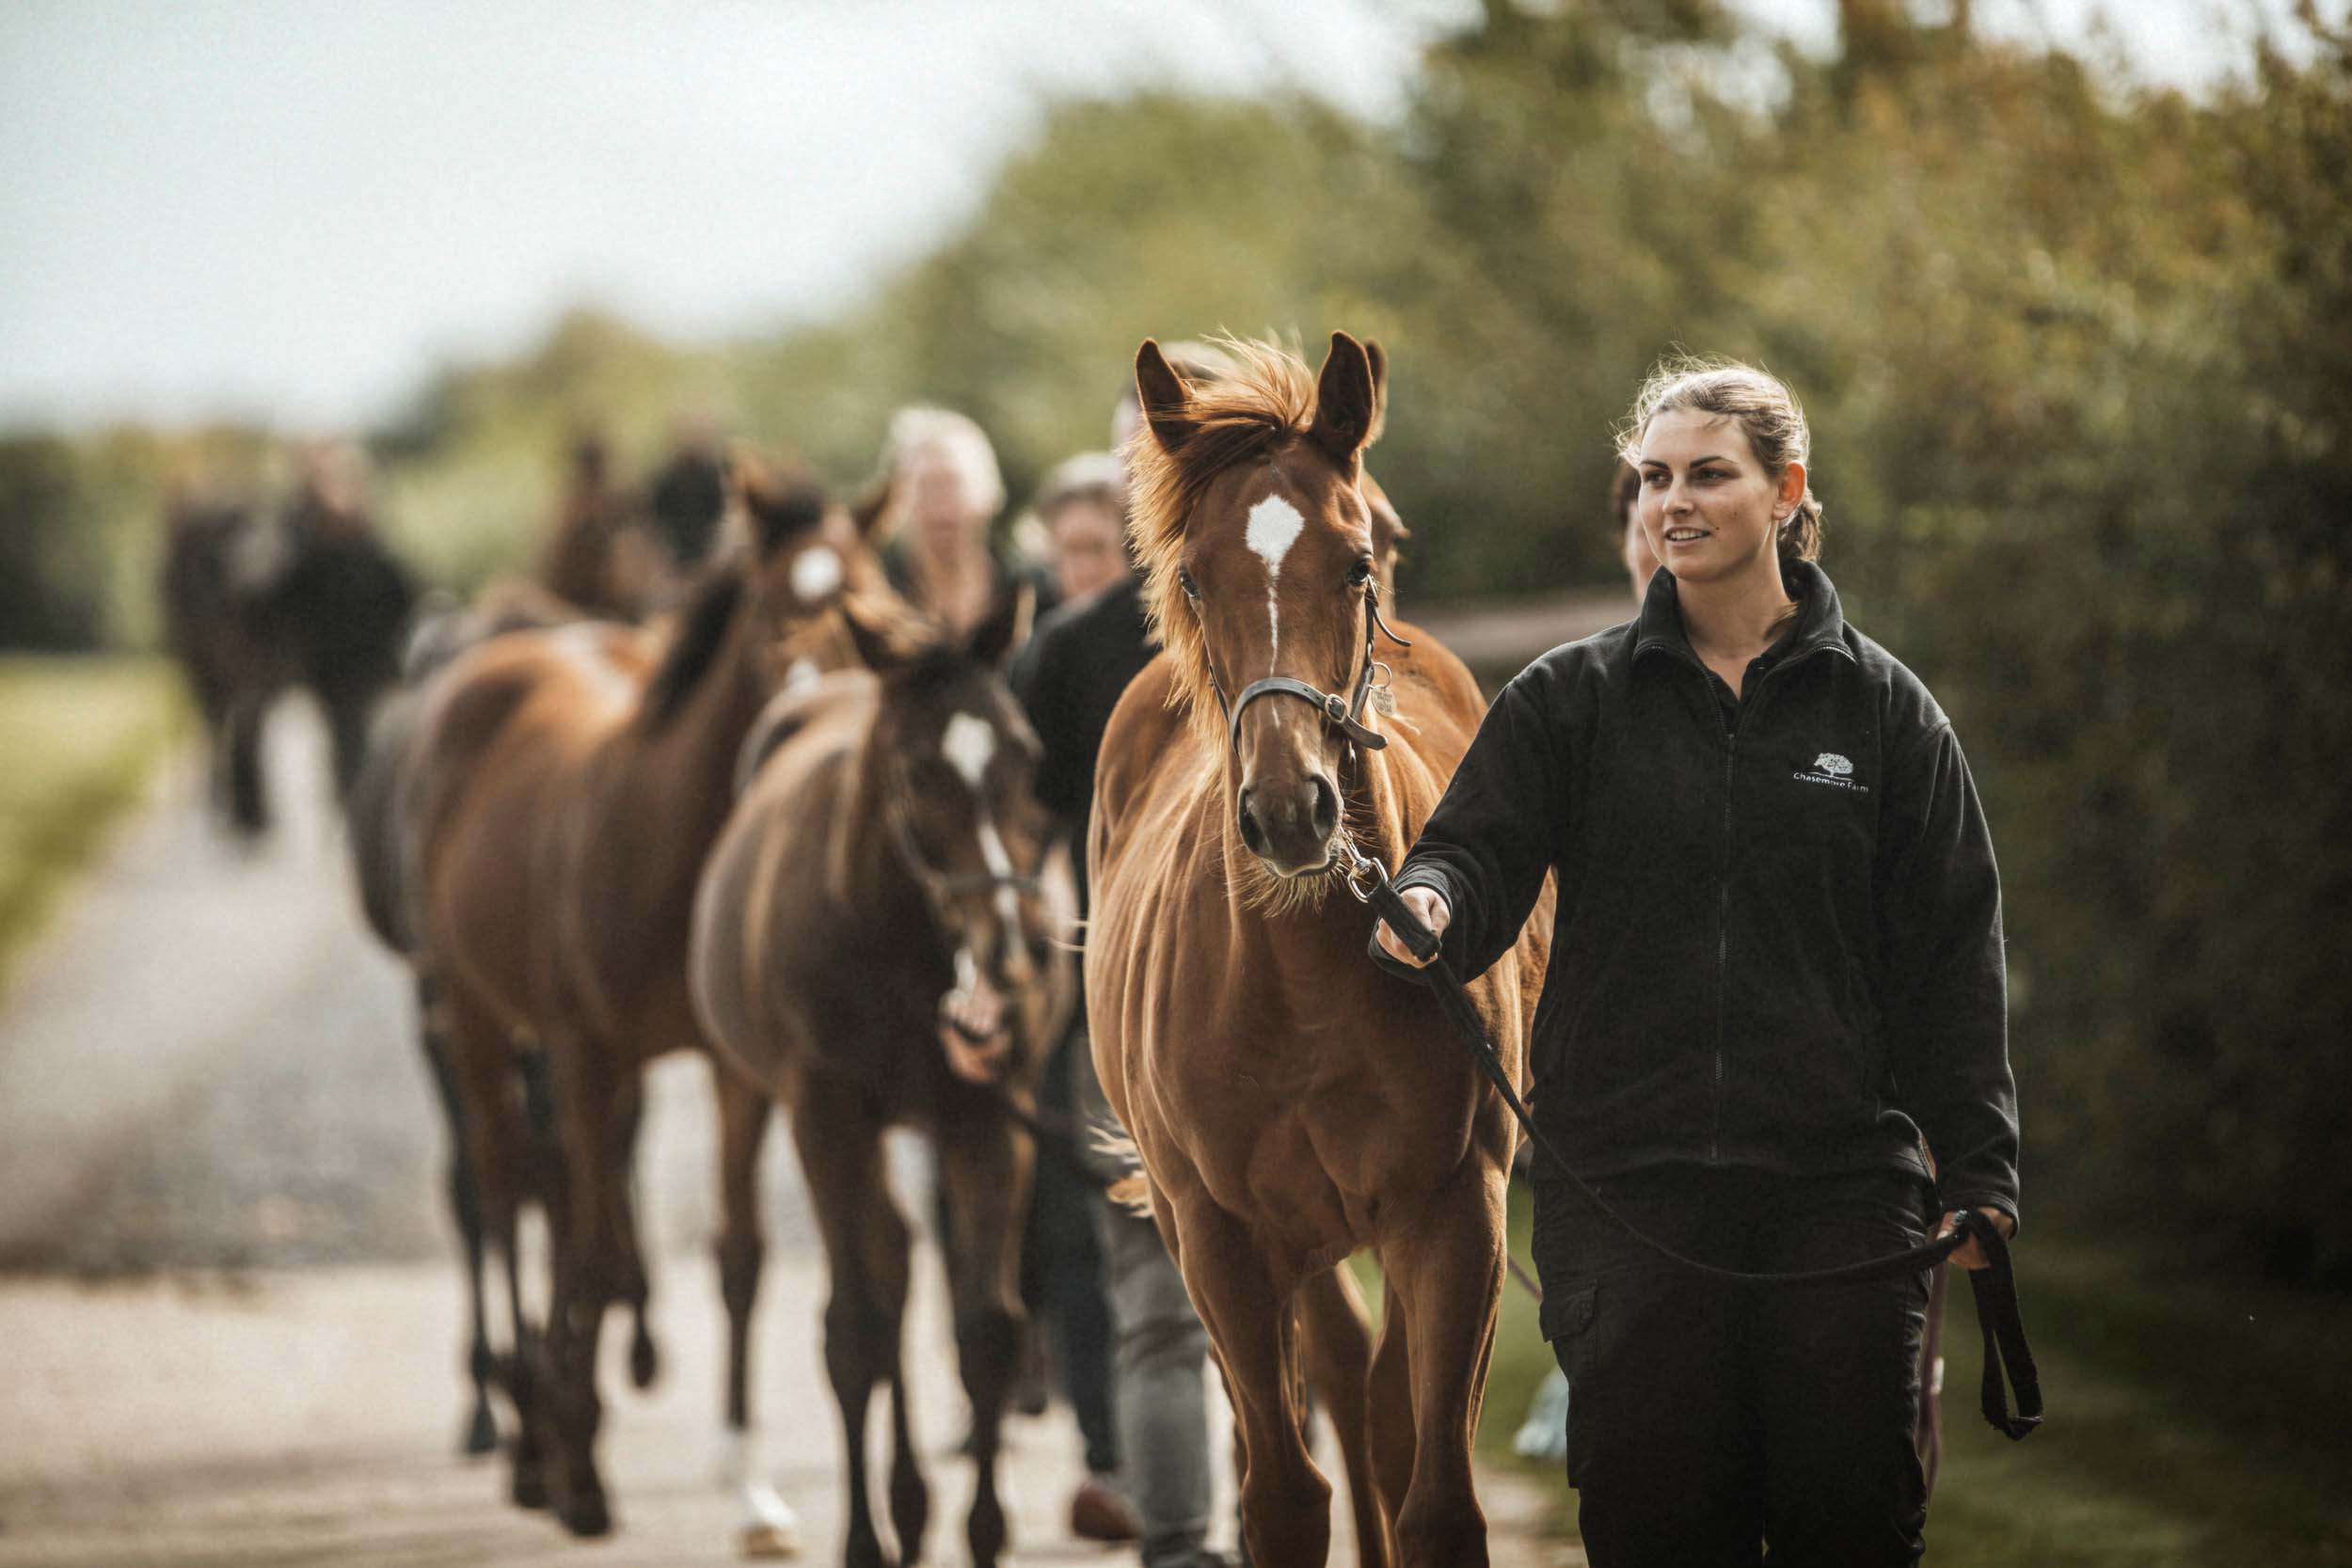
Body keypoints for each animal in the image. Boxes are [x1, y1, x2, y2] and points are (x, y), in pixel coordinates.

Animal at [397, 453, 889, 1542]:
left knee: (566, 1191)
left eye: (877, 597)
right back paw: (531, 1441)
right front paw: (581, 1468)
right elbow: (585, 1244)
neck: (670, 848)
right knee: (508, 1189)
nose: (821, 694)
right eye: (772, 606)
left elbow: (736, 1255)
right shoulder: (585, 1050)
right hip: (480, 1015)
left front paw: (749, 1482)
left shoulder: (737, 1073)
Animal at [687, 592, 1077, 1568]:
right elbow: (854, 1329)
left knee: (899, 1259)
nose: (1012, 948)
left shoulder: (988, 1118)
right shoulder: (826, 1115)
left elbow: (985, 1329)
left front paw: (983, 1533)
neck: (899, 938)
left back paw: (912, 1502)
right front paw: (866, 1540)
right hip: (748, 1088)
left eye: (1026, 754)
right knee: (770, 1260)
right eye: (914, 771)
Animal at [1087, 333, 1562, 1568]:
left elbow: (1434, 1494)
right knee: (1338, 1391)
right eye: (1194, 575)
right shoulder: (1218, 1236)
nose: (1289, 809)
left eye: (1355, 564)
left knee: (1377, 1406)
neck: (1296, 984)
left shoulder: (1453, 1215)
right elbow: (1284, 1495)